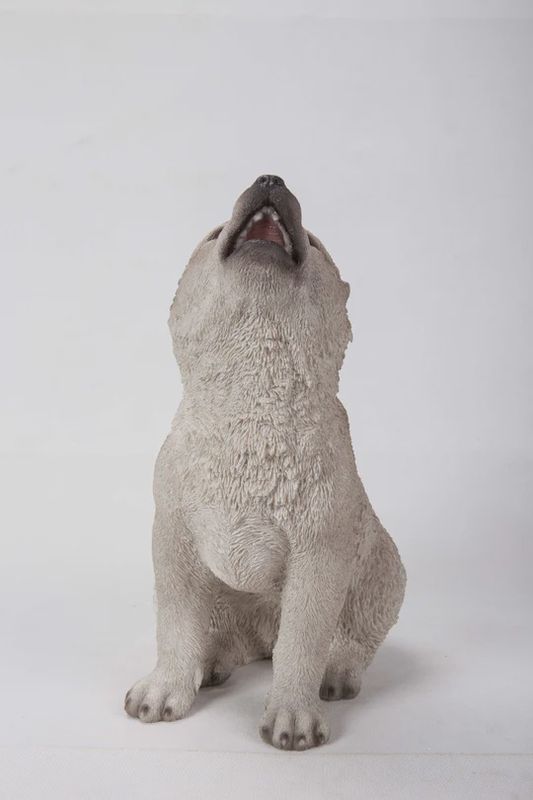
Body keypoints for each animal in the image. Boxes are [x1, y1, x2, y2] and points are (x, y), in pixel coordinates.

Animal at [124, 175, 406, 750]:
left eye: (315, 244)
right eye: (214, 235)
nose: (270, 178)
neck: (254, 397)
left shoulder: (319, 551)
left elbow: (303, 640)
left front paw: (292, 716)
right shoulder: (173, 536)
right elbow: (175, 622)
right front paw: (164, 689)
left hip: (385, 573)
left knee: (351, 636)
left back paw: (336, 672)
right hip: (226, 599)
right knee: (223, 633)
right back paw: (210, 663)